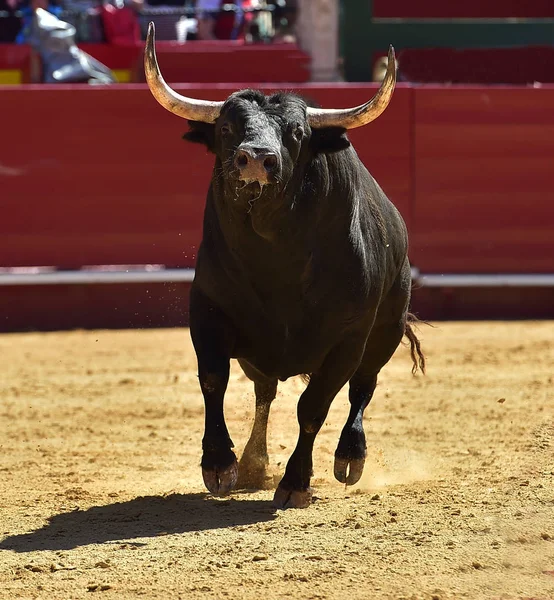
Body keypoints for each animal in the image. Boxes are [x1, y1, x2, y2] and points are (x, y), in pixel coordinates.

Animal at [144, 24, 424, 510]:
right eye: (227, 126)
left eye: (295, 131)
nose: (257, 157)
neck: (275, 258)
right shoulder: (208, 312)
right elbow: (214, 380)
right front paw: (219, 465)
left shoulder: (348, 337)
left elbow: (314, 406)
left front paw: (295, 482)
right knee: (265, 392)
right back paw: (253, 463)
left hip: (385, 330)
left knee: (362, 387)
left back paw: (350, 458)